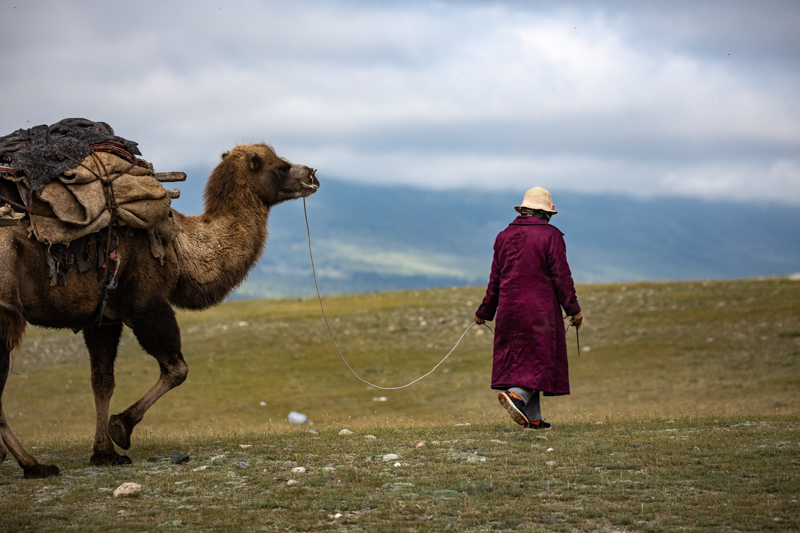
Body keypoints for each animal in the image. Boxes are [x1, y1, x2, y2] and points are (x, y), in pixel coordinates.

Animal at [0, 142, 318, 478]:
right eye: (281, 166)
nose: (312, 174)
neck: (180, 247)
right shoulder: (145, 302)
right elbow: (177, 369)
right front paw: (121, 428)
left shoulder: (103, 317)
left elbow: (103, 381)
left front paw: (104, 452)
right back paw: (34, 465)